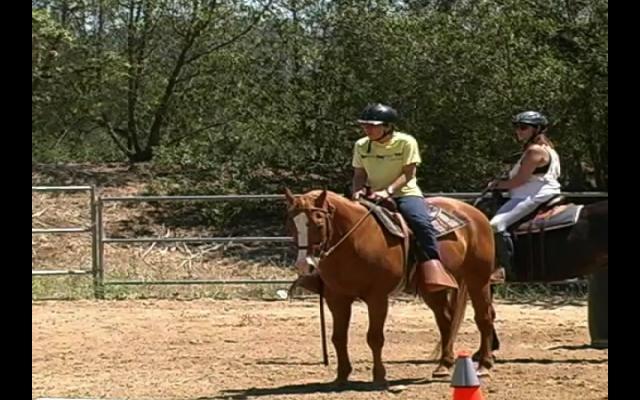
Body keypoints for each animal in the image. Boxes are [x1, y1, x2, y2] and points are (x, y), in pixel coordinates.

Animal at [283, 188, 497, 385]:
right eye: (291, 225)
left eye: (318, 223)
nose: (304, 265)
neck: (356, 239)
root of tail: (474, 212)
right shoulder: (337, 298)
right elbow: (338, 337)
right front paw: (342, 376)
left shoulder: (377, 297)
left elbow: (374, 337)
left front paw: (379, 376)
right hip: (433, 289)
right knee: (445, 321)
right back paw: (444, 365)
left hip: (478, 279)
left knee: (484, 317)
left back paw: (484, 365)